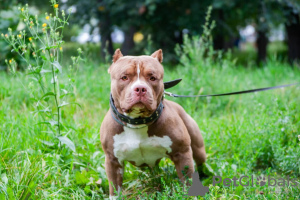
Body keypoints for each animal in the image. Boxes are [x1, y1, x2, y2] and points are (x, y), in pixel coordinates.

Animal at [100, 48, 206, 197]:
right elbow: (115, 189)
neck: (137, 123)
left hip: (198, 147)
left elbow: (187, 180)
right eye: (124, 77)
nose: (140, 88)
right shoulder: (112, 161)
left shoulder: (182, 153)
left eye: (152, 78)